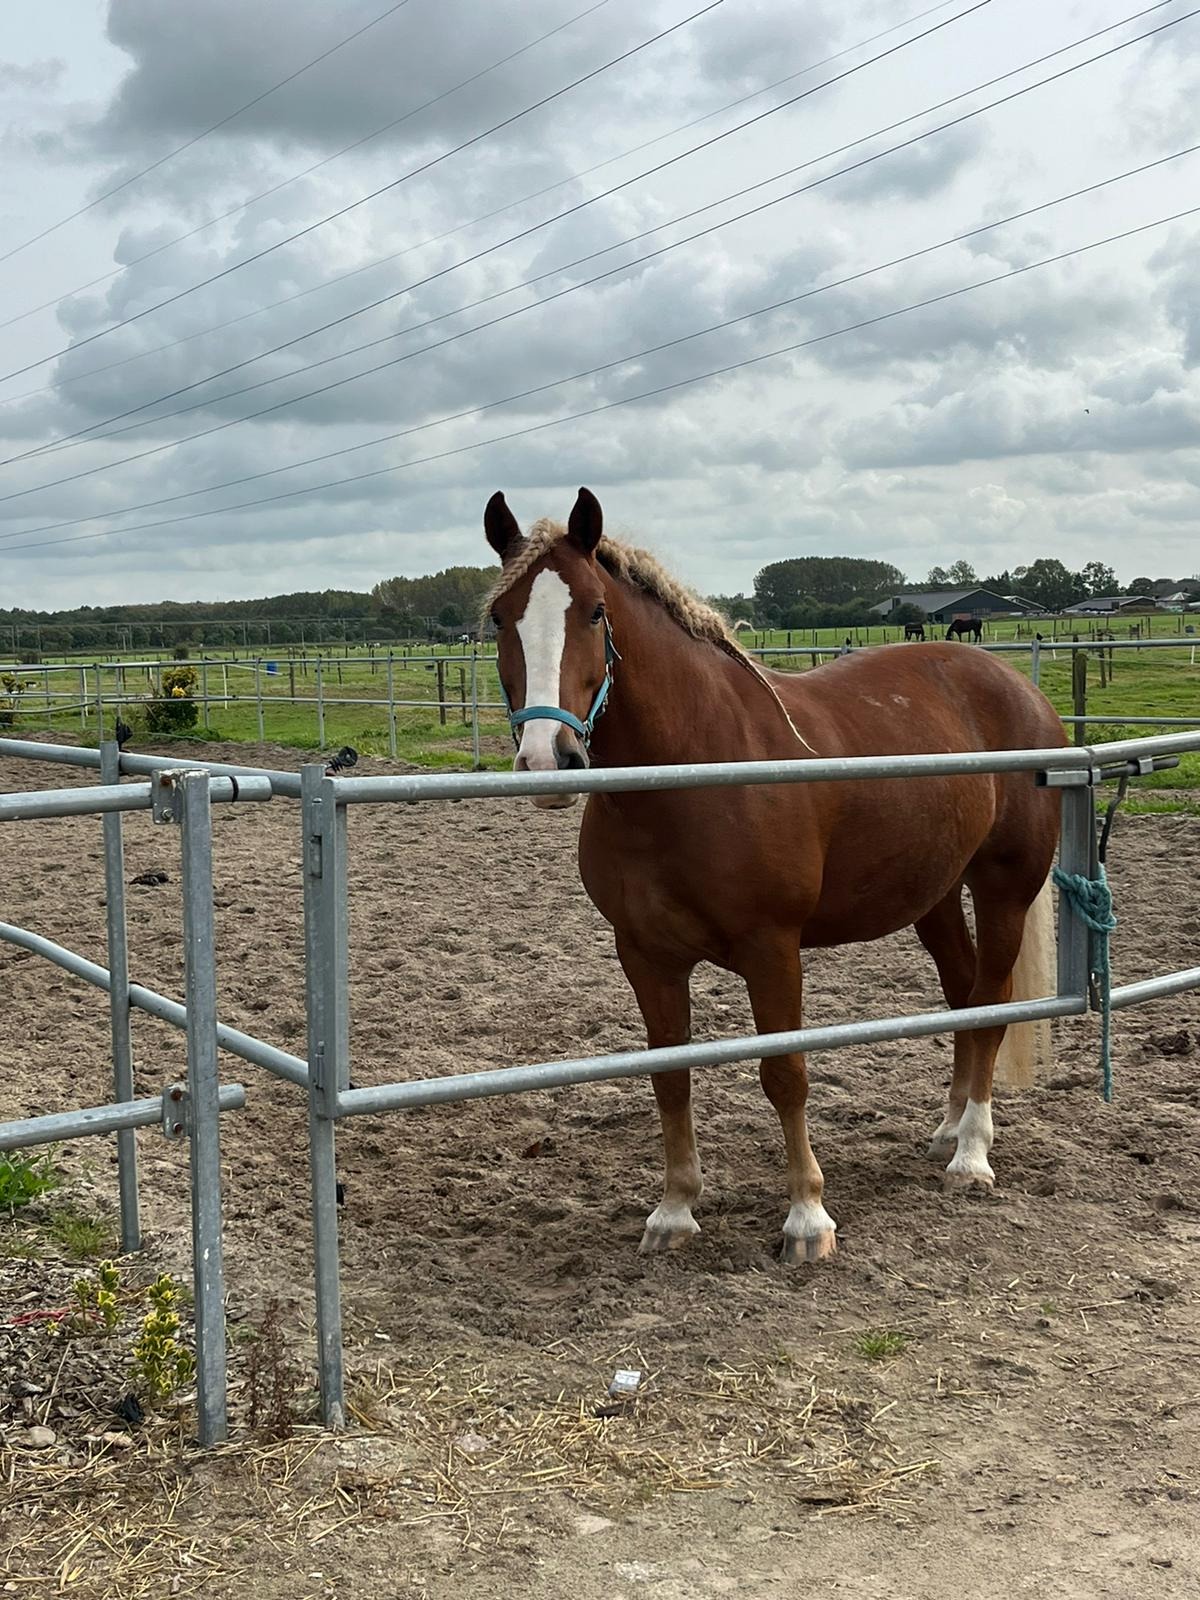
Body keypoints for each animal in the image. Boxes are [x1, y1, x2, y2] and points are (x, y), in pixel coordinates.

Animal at [484, 489, 1063, 1264]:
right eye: (499, 616)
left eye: (596, 610)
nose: (550, 757)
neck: (695, 769)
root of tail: (1017, 686)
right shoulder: (645, 955)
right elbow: (669, 1075)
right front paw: (675, 1210)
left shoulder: (772, 948)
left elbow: (784, 1074)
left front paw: (807, 1219)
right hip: (934, 896)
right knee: (963, 996)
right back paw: (946, 1132)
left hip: (1004, 888)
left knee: (993, 1000)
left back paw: (971, 1155)